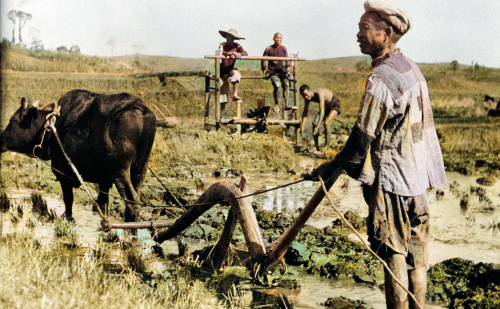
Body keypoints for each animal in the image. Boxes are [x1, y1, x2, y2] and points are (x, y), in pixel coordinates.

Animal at [0, 89, 156, 221]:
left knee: (131, 201)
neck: (51, 129)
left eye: (13, 121)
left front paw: (68, 218)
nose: (0, 139)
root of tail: (137, 105)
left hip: (120, 171)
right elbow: (103, 205)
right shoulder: (104, 181)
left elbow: (68, 201)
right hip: (140, 168)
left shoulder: (63, 175)